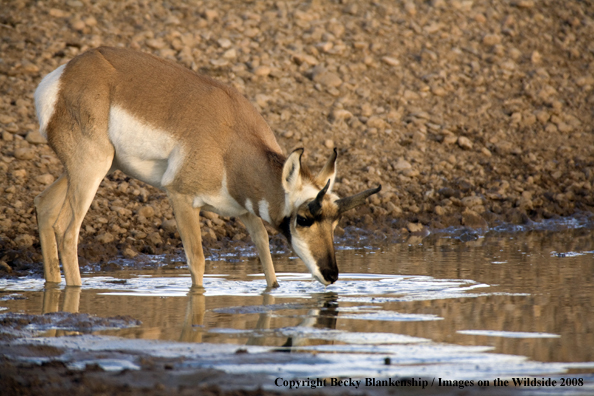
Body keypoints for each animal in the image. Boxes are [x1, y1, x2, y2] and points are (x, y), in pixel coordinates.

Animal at [33, 45, 380, 288]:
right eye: (305, 219)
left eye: (336, 222)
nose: (332, 275)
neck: (231, 142)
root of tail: (65, 73)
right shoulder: (181, 198)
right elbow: (197, 261)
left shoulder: (245, 213)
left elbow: (265, 255)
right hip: (92, 168)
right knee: (67, 230)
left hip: (97, 167)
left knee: (45, 205)